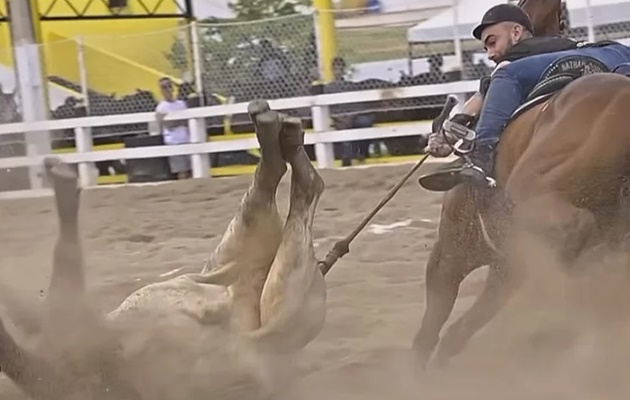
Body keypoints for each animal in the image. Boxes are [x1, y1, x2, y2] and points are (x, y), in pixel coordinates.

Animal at [412, 0, 630, 368]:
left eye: (490, 40)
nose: (490, 50)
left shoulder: (452, 251)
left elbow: (431, 327)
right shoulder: (505, 266)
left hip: (531, 201)